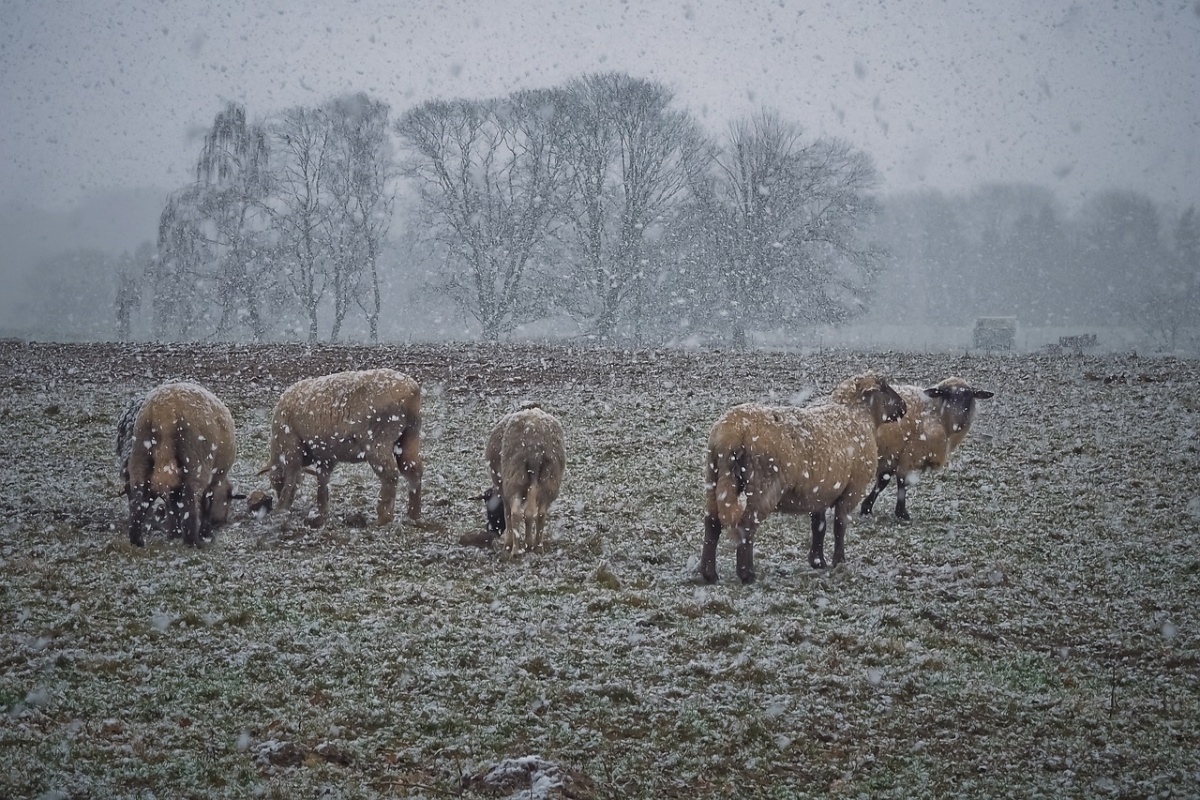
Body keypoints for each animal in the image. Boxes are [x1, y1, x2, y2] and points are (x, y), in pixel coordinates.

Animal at [121, 383, 236, 546]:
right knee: (190, 495)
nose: (222, 521)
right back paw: (192, 541)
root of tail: (165, 409)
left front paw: (174, 533)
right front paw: (206, 534)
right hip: (195, 457)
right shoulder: (215, 478)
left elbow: (173, 503)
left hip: (141, 451)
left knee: (139, 493)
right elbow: (206, 502)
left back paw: (137, 540)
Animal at [265, 369, 424, 525]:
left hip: (377, 439)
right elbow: (322, 482)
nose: (278, 496)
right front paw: (322, 512)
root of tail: (411, 390)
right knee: (413, 470)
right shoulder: (325, 456)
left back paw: (383, 518)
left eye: (275, 482)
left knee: (390, 475)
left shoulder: (291, 447)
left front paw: (280, 508)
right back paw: (413, 514)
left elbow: (291, 479)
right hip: (410, 435)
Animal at [484, 402, 564, 561]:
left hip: (515, 477)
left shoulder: (503, 489)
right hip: (549, 479)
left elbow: (507, 514)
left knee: (516, 513)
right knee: (539, 513)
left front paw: (508, 545)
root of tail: (536, 448)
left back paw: (516, 551)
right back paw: (536, 546)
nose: (492, 531)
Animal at [700, 371, 902, 585]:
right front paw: (839, 561)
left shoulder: (820, 491)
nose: (903, 406)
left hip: (714, 476)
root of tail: (733, 432)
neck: (860, 416)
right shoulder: (852, 489)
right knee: (746, 526)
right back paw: (747, 574)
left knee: (712, 522)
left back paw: (709, 574)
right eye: (885, 387)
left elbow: (818, 526)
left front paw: (817, 561)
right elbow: (840, 525)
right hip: (764, 485)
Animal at [864, 376, 993, 520]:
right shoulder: (908, 454)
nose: (961, 421)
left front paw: (866, 508)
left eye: (970, 397)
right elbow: (899, 482)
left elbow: (882, 481)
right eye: (947, 395)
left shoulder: (893, 455)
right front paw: (901, 513)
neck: (934, 412)